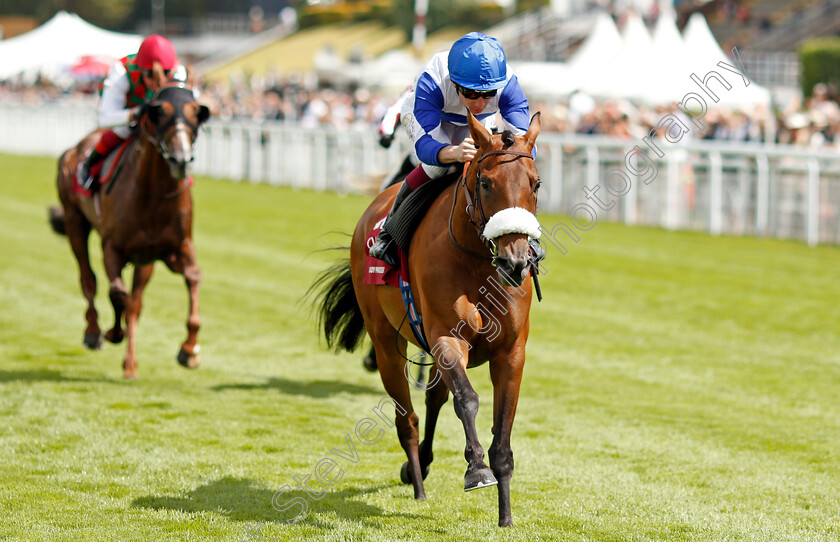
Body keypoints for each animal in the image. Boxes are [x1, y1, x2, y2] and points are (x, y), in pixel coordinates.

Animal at [48, 74, 210, 380]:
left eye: (196, 112)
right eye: (160, 112)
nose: (181, 159)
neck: (154, 194)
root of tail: (76, 148)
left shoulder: (173, 248)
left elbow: (192, 279)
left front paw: (189, 350)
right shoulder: (112, 247)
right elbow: (117, 294)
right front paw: (113, 332)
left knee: (134, 301)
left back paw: (130, 363)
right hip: (75, 221)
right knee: (88, 278)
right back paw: (94, 332)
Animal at [312, 112, 540, 528]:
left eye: (536, 183)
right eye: (486, 183)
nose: (515, 262)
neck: (477, 261)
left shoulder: (511, 352)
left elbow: (502, 430)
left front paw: (505, 516)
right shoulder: (448, 338)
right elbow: (467, 399)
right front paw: (476, 470)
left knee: (434, 398)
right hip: (386, 344)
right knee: (408, 418)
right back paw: (417, 482)